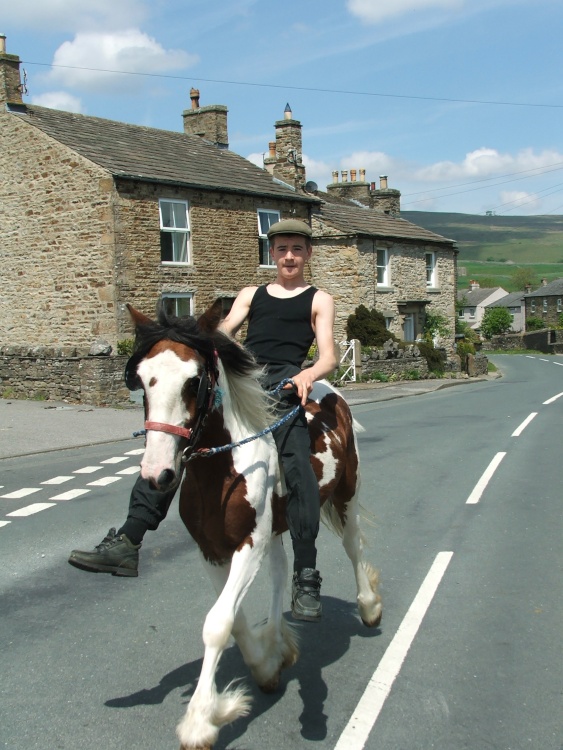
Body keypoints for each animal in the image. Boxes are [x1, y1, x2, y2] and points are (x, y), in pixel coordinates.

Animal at [124, 301, 382, 750]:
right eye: (141, 380)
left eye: (194, 380)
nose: (158, 473)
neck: (223, 468)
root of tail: (329, 391)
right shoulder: (212, 551)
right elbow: (234, 620)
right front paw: (263, 666)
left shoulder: (249, 543)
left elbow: (217, 624)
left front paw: (200, 721)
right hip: (276, 530)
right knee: (280, 574)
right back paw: (280, 644)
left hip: (345, 495)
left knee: (352, 548)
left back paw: (366, 607)